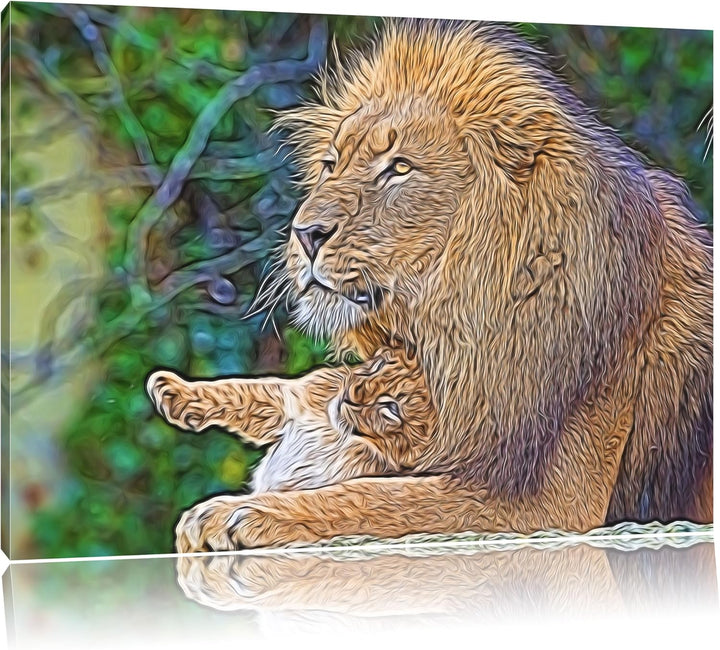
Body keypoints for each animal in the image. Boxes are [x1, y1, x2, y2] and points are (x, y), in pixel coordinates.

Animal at [156, 19, 713, 551]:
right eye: (332, 165)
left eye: (399, 168)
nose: (305, 233)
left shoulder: (553, 504)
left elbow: (371, 498)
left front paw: (240, 514)